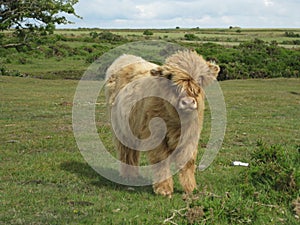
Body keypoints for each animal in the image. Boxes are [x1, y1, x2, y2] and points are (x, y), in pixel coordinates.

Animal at [106, 50, 220, 196]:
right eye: (171, 79)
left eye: (199, 79)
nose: (188, 102)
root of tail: (125, 57)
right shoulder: (157, 137)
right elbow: (160, 160)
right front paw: (164, 189)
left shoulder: (191, 136)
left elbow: (188, 161)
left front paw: (191, 188)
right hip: (121, 127)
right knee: (127, 151)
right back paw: (129, 176)